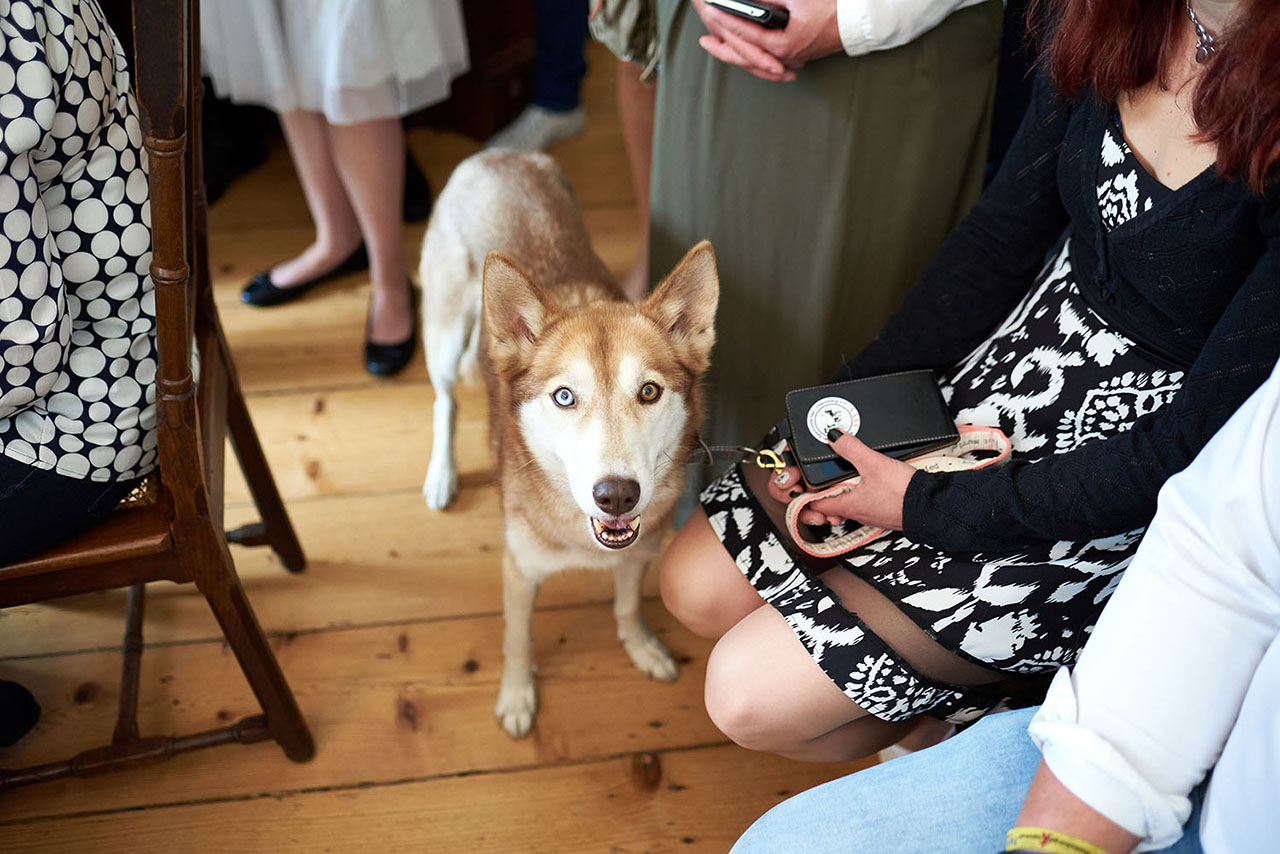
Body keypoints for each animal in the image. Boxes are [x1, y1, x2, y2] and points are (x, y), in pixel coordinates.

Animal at [422, 150, 716, 737]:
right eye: (564, 397)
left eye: (649, 391)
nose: (617, 495)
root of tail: (496, 154)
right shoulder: (518, 571)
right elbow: (517, 640)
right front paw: (517, 697)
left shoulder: (638, 556)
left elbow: (626, 608)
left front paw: (641, 648)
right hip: (441, 336)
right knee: (445, 400)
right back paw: (441, 474)